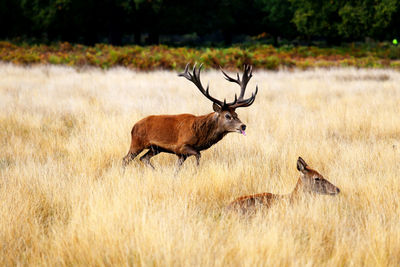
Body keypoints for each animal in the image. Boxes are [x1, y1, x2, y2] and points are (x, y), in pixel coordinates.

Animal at [122, 63, 258, 171]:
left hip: (155, 148)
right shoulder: (181, 146)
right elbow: (198, 155)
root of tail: (133, 126)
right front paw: (196, 172)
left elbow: (177, 169)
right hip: (137, 143)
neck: (200, 134)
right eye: (227, 115)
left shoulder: (182, 155)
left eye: (236, 114)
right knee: (125, 159)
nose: (243, 126)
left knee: (143, 158)